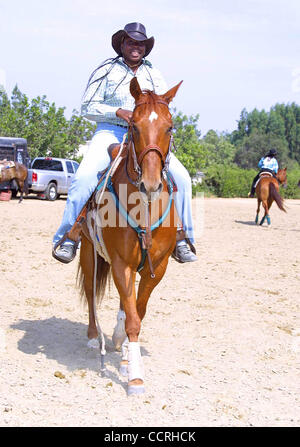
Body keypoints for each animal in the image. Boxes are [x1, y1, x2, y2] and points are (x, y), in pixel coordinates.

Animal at [77, 78, 182, 396]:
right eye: (134, 126)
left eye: (170, 127)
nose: (151, 184)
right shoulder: (121, 263)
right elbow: (134, 320)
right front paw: (136, 377)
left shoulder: (156, 267)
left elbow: (137, 311)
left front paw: (125, 358)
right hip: (88, 251)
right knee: (90, 291)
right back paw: (93, 336)